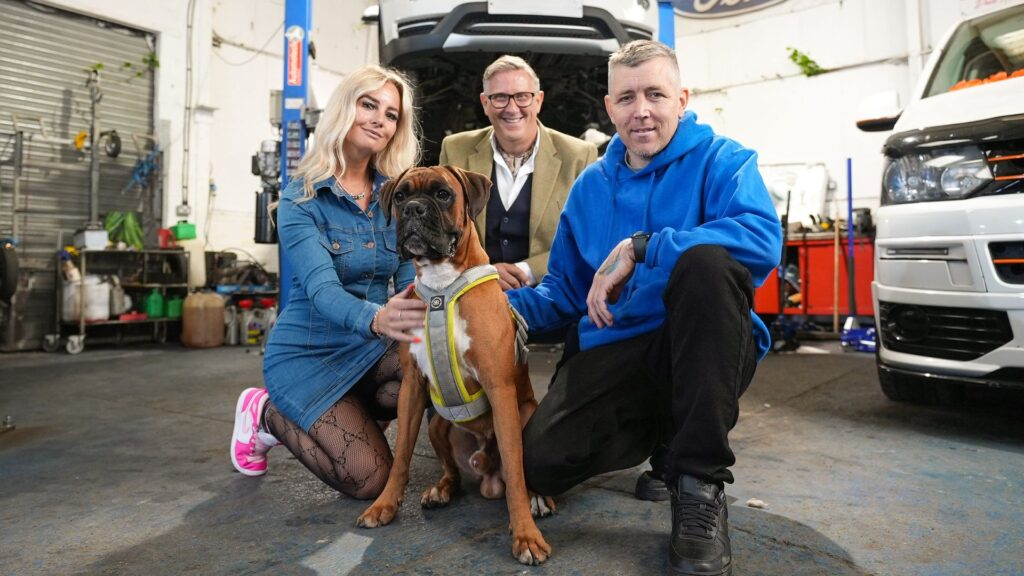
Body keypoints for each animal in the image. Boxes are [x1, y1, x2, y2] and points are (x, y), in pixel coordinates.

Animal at [356, 165, 555, 565]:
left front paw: (526, 536)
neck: (441, 286)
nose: (414, 209)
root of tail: (486, 474)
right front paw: (385, 505)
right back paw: (442, 489)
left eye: (443, 194)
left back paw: (539, 498)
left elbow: (516, 467)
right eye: (400, 196)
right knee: (453, 471)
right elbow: (401, 453)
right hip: (437, 423)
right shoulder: (413, 388)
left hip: (525, 412)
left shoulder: (500, 388)